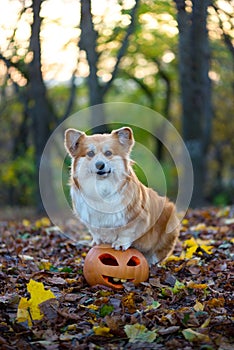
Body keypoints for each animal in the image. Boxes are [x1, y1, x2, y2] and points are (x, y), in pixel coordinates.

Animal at [65, 127, 180, 264]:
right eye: (90, 153)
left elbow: (127, 231)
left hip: (169, 218)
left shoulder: (137, 216)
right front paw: (98, 242)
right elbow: (95, 232)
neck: (102, 187)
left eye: (108, 153)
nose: (100, 164)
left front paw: (120, 244)